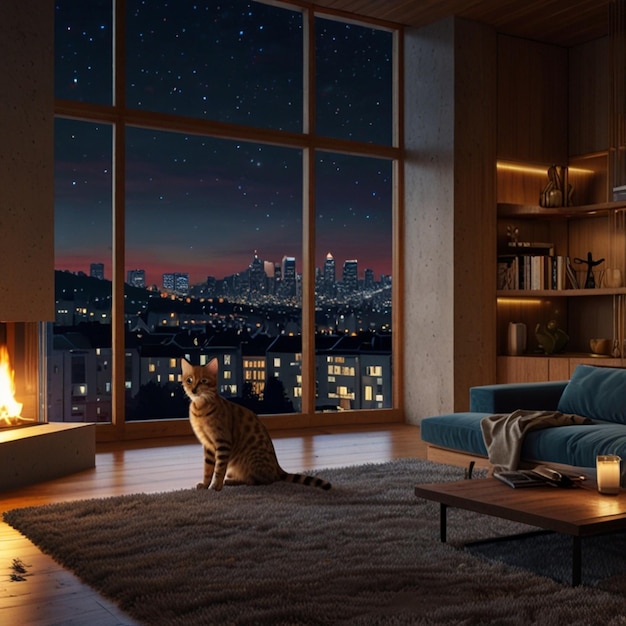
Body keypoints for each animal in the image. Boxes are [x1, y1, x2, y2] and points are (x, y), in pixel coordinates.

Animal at [179, 356, 332, 488]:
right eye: (189, 380)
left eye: (203, 381)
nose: (193, 389)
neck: (200, 408)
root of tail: (278, 467)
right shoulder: (209, 446)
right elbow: (208, 469)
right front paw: (205, 485)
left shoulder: (222, 442)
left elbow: (219, 469)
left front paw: (215, 486)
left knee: (260, 481)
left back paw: (233, 482)